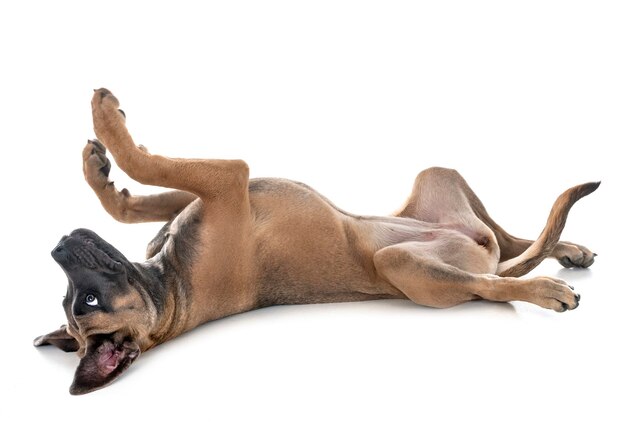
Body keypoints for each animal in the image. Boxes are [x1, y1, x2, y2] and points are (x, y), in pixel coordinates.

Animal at [33, 87, 596, 394]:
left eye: (78, 300)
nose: (58, 247)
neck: (171, 287)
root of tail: (484, 255)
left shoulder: (210, 192)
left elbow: (135, 197)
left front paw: (101, 166)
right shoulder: (228, 182)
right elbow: (148, 165)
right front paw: (106, 119)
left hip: (436, 176)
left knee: (511, 238)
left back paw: (570, 251)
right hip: (402, 263)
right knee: (493, 281)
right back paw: (545, 287)